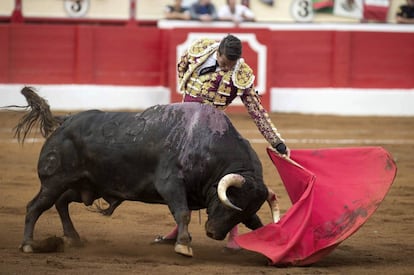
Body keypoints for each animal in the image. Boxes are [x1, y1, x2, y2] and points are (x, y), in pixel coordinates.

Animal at [16, 87, 274, 258]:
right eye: (230, 202)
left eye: (243, 212)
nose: (213, 233)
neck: (210, 147)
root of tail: (65, 121)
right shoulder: (170, 184)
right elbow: (183, 213)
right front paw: (183, 245)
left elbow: (256, 223)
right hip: (54, 181)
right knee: (36, 206)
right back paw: (28, 244)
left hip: (85, 186)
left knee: (61, 202)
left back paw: (73, 238)